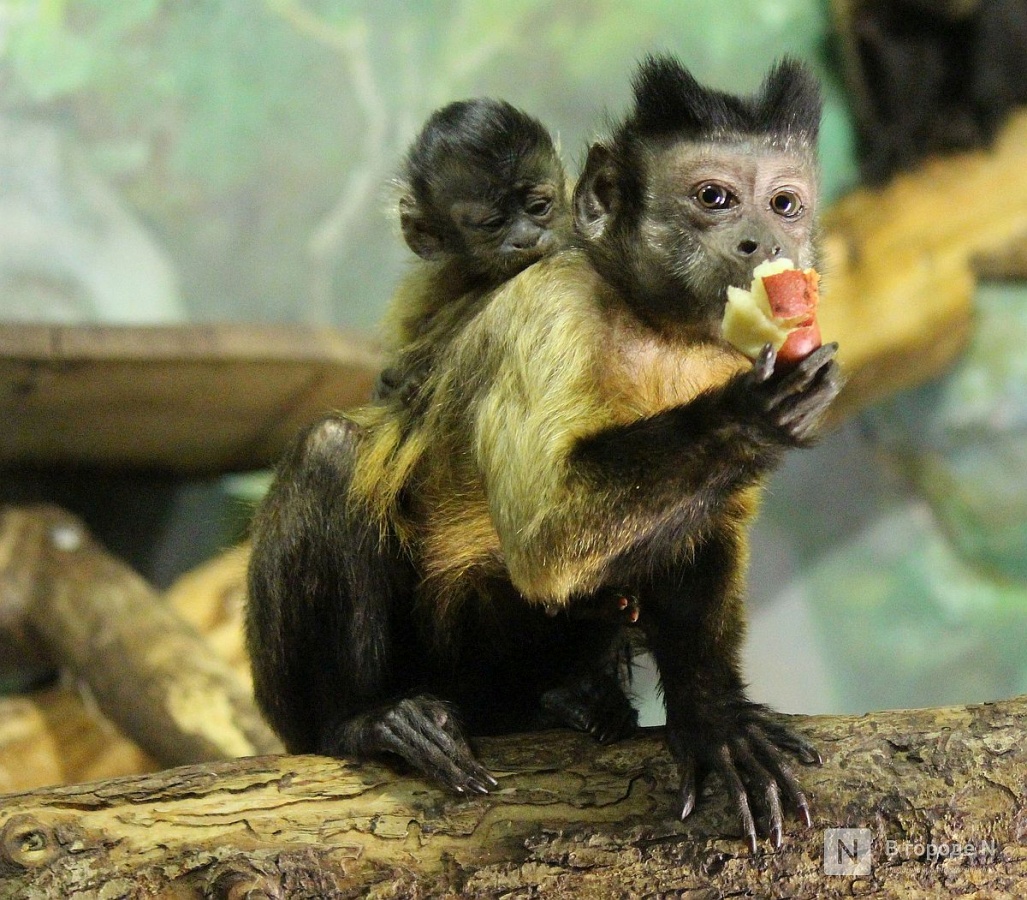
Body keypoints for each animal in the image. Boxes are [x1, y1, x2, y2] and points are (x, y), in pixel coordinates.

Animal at [248, 56, 842, 850]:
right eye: (714, 198)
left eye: (784, 204)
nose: (763, 243)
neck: (654, 327)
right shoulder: (548, 308)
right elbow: (544, 543)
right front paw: (749, 414)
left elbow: (701, 539)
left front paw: (711, 715)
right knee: (331, 452)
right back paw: (362, 720)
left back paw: (569, 699)